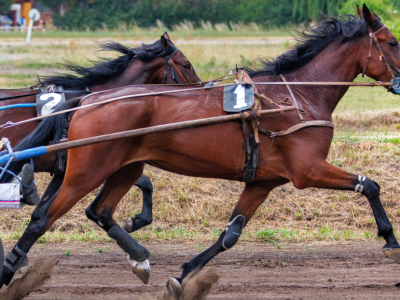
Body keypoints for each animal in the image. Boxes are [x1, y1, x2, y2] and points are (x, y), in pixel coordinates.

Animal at [1, 4, 398, 296]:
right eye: (392, 42)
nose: (399, 81)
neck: (297, 96)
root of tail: (88, 99)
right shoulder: (308, 170)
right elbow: (370, 185)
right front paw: (390, 239)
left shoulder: (263, 182)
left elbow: (230, 234)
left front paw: (184, 275)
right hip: (86, 170)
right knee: (42, 219)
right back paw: (9, 271)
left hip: (123, 166)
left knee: (99, 210)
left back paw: (139, 259)